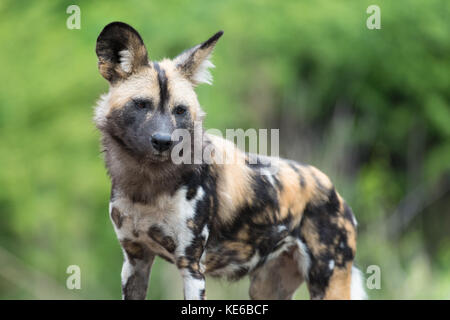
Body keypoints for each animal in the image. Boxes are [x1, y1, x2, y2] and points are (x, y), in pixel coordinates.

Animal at [94, 21, 366, 300]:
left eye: (180, 111)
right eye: (141, 105)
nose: (163, 141)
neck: (147, 186)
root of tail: (334, 191)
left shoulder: (191, 267)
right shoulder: (135, 260)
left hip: (328, 283)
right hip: (265, 289)